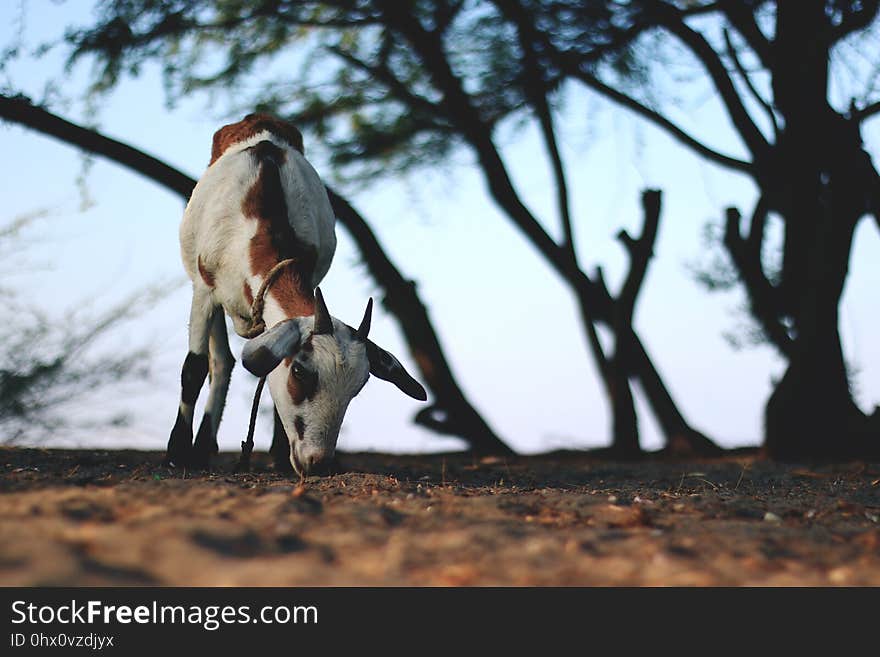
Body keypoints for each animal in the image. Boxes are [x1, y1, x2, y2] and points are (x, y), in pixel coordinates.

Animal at [167, 111, 428, 472]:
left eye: (358, 386)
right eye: (301, 371)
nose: (318, 462)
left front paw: (278, 456)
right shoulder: (205, 290)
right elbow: (194, 368)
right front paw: (176, 452)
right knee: (219, 362)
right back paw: (199, 450)